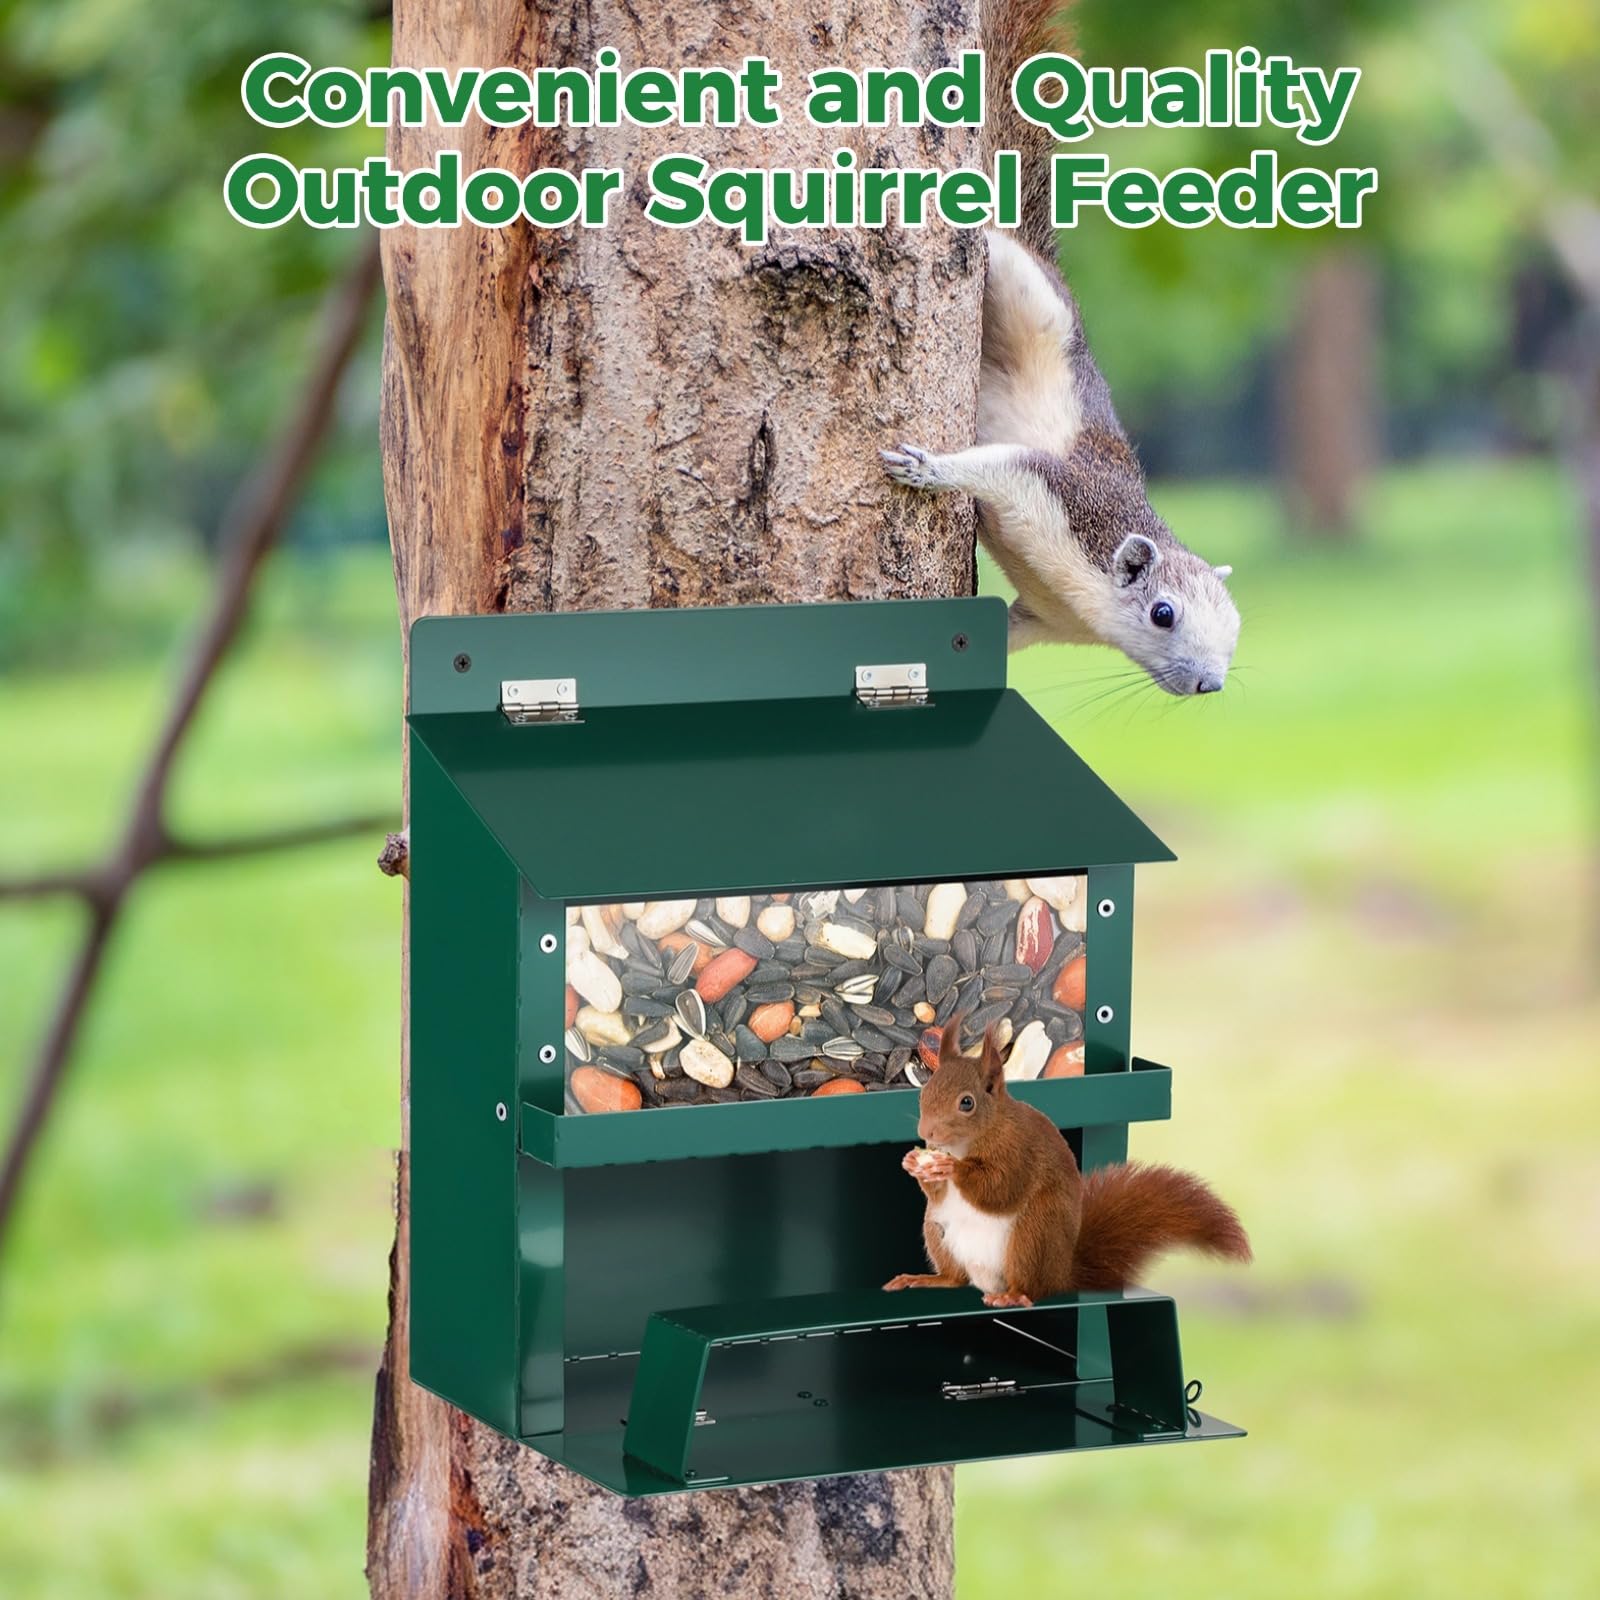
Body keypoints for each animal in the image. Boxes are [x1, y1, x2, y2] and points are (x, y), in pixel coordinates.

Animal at [881, 1, 1241, 697]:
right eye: (1163, 613)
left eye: (1237, 628)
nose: (1210, 684)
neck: (1086, 597)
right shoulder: (1059, 496)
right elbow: (1000, 466)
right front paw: (929, 469)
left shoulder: (1043, 618)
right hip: (1033, 295)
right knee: (1000, 249)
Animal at [884, 1016, 1251, 1307]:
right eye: (924, 1091)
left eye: (966, 1103)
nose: (925, 1132)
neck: (965, 1143)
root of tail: (1062, 1273)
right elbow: (939, 1192)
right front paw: (914, 1163)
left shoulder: (1019, 1150)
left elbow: (1001, 1189)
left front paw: (952, 1168)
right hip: (936, 1228)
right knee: (956, 1278)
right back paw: (926, 1279)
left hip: (1032, 1235)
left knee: (1031, 1286)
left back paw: (1013, 1296)